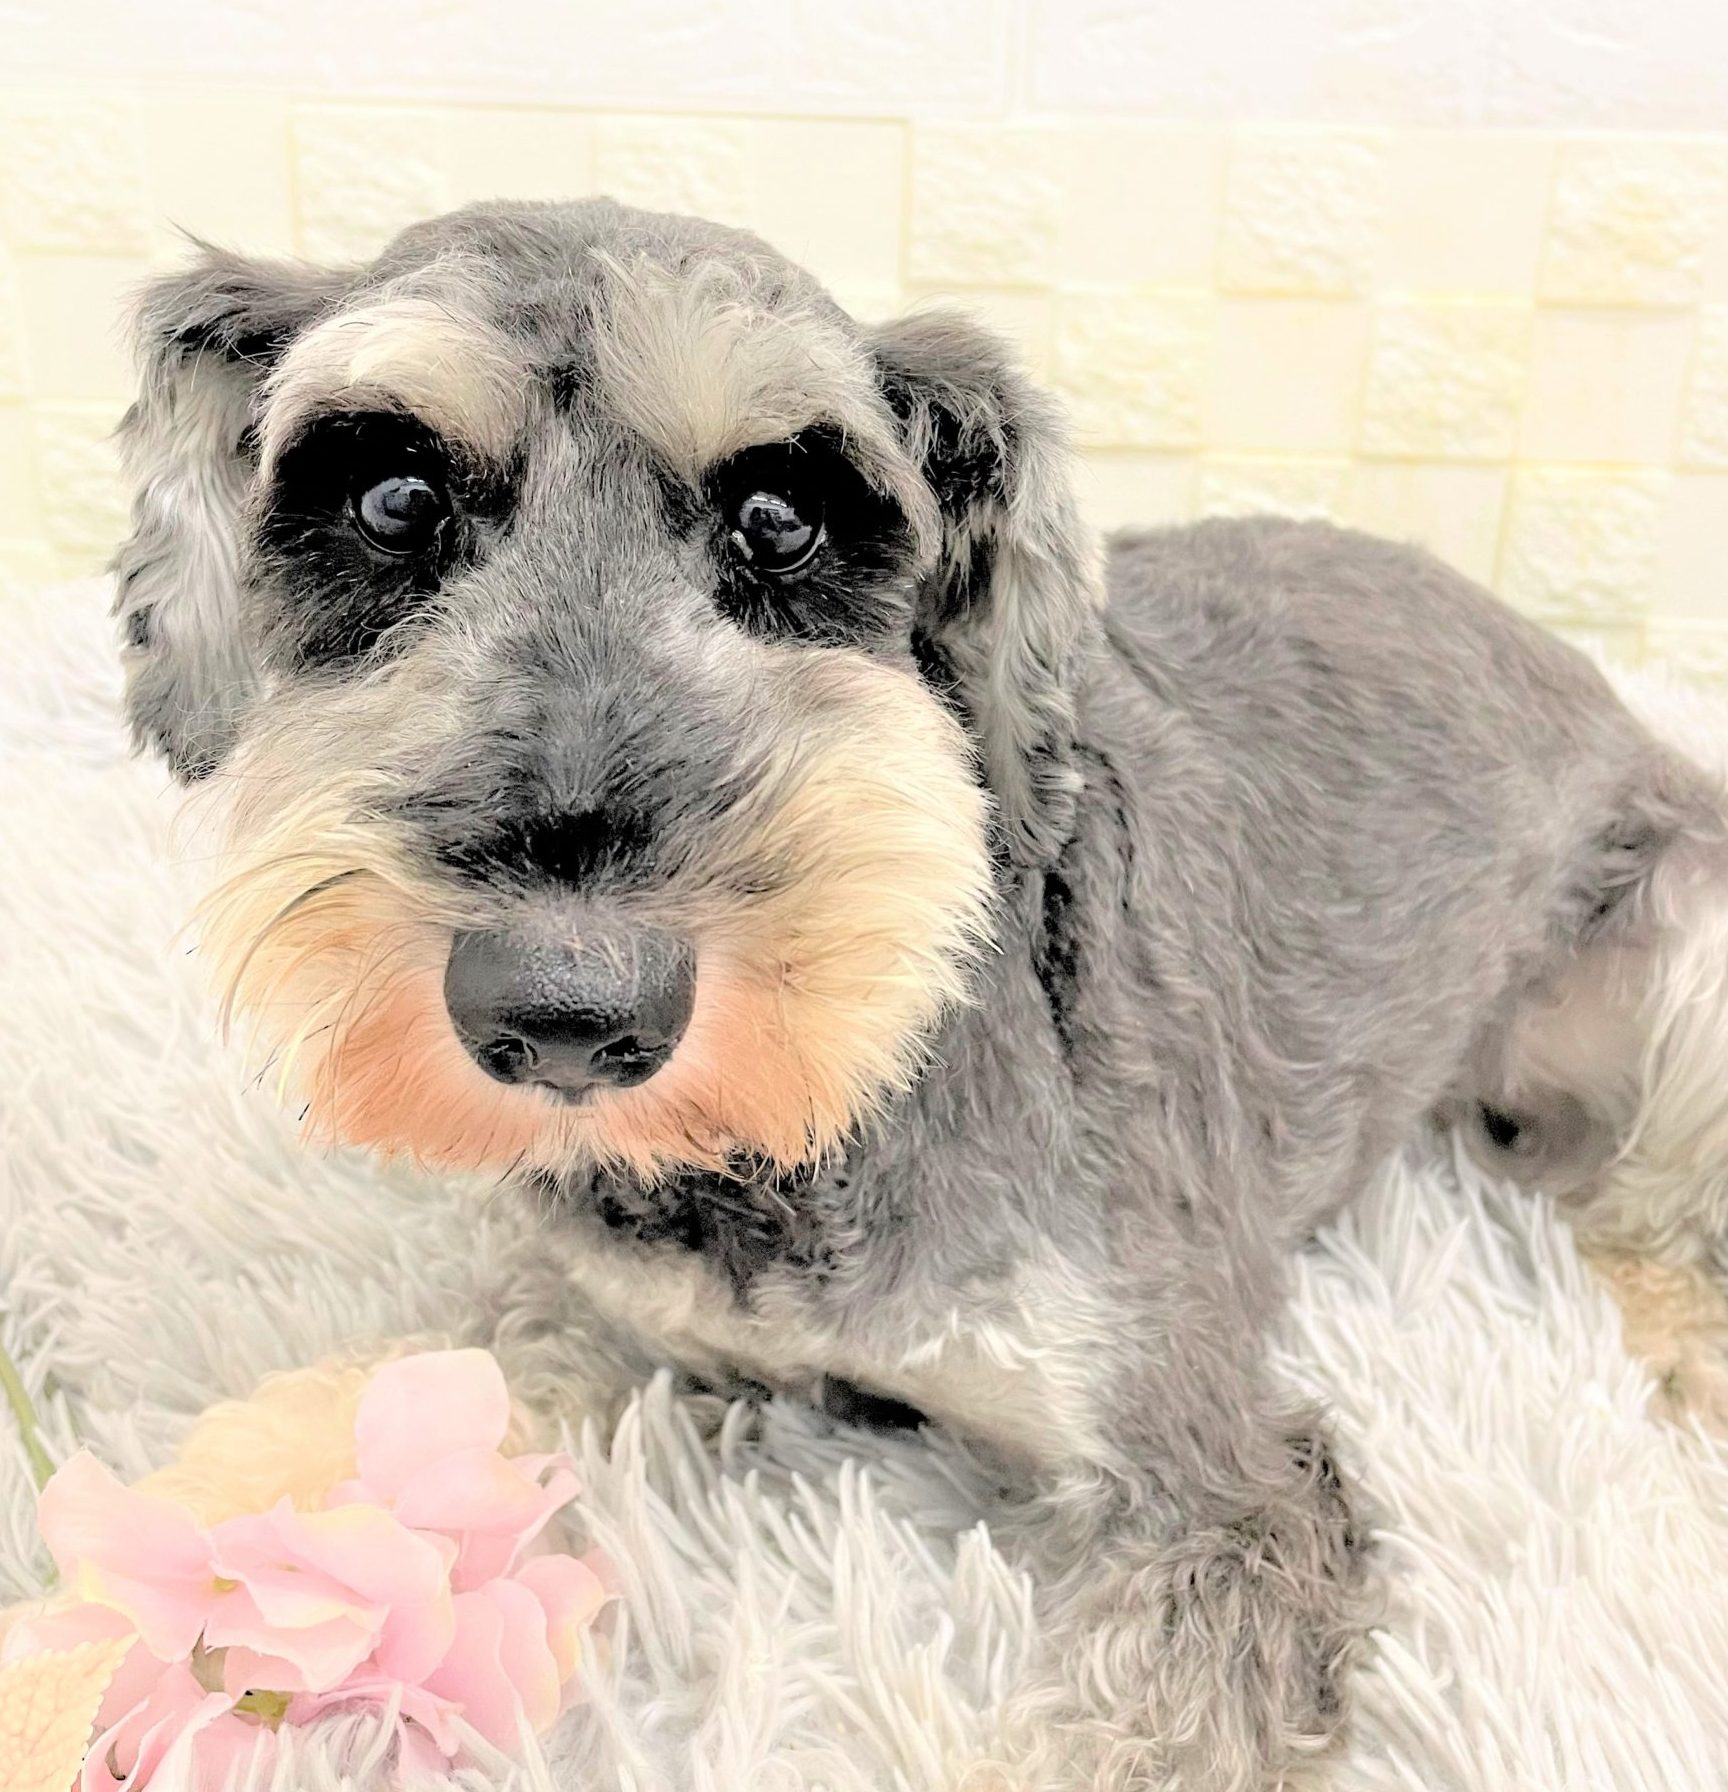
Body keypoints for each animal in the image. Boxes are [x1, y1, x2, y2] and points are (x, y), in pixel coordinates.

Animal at [111, 199, 1728, 1789]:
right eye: (394, 502)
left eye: (781, 519)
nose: (566, 1011)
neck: (796, 1136)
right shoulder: (584, 1307)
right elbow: (406, 1433)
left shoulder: (1202, 1470)